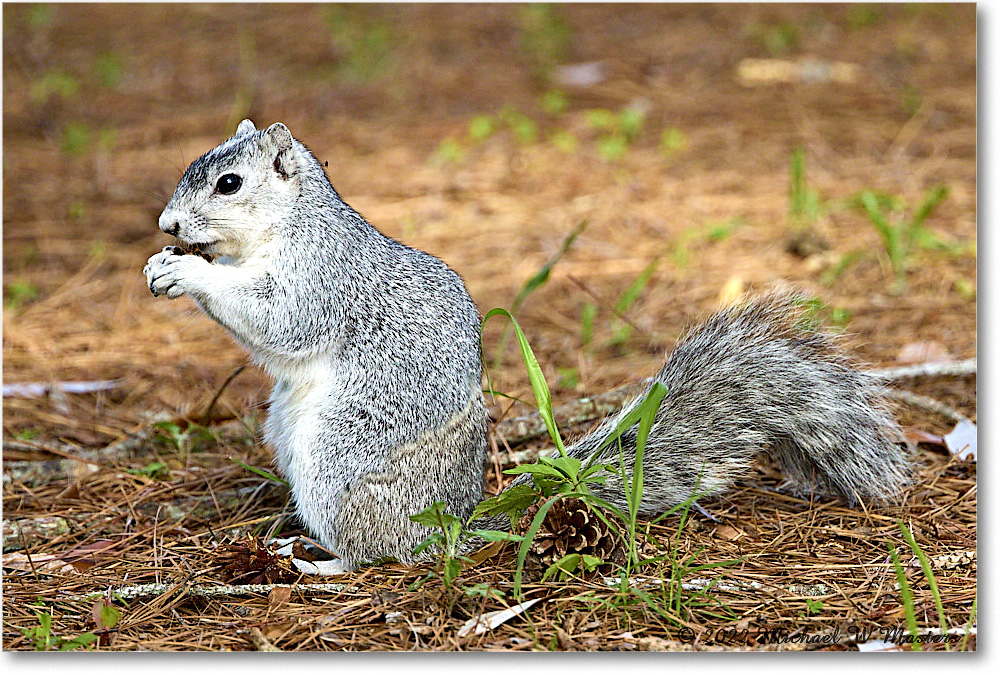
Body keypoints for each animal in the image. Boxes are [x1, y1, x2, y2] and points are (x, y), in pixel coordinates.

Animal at [145, 119, 912, 572]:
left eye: (229, 183)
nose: (167, 226)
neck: (285, 226)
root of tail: (454, 525)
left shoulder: (324, 276)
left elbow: (281, 320)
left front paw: (186, 272)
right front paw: (165, 264)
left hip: (344, 462)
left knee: (381, 555)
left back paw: (324, 564)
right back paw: (294, 541)